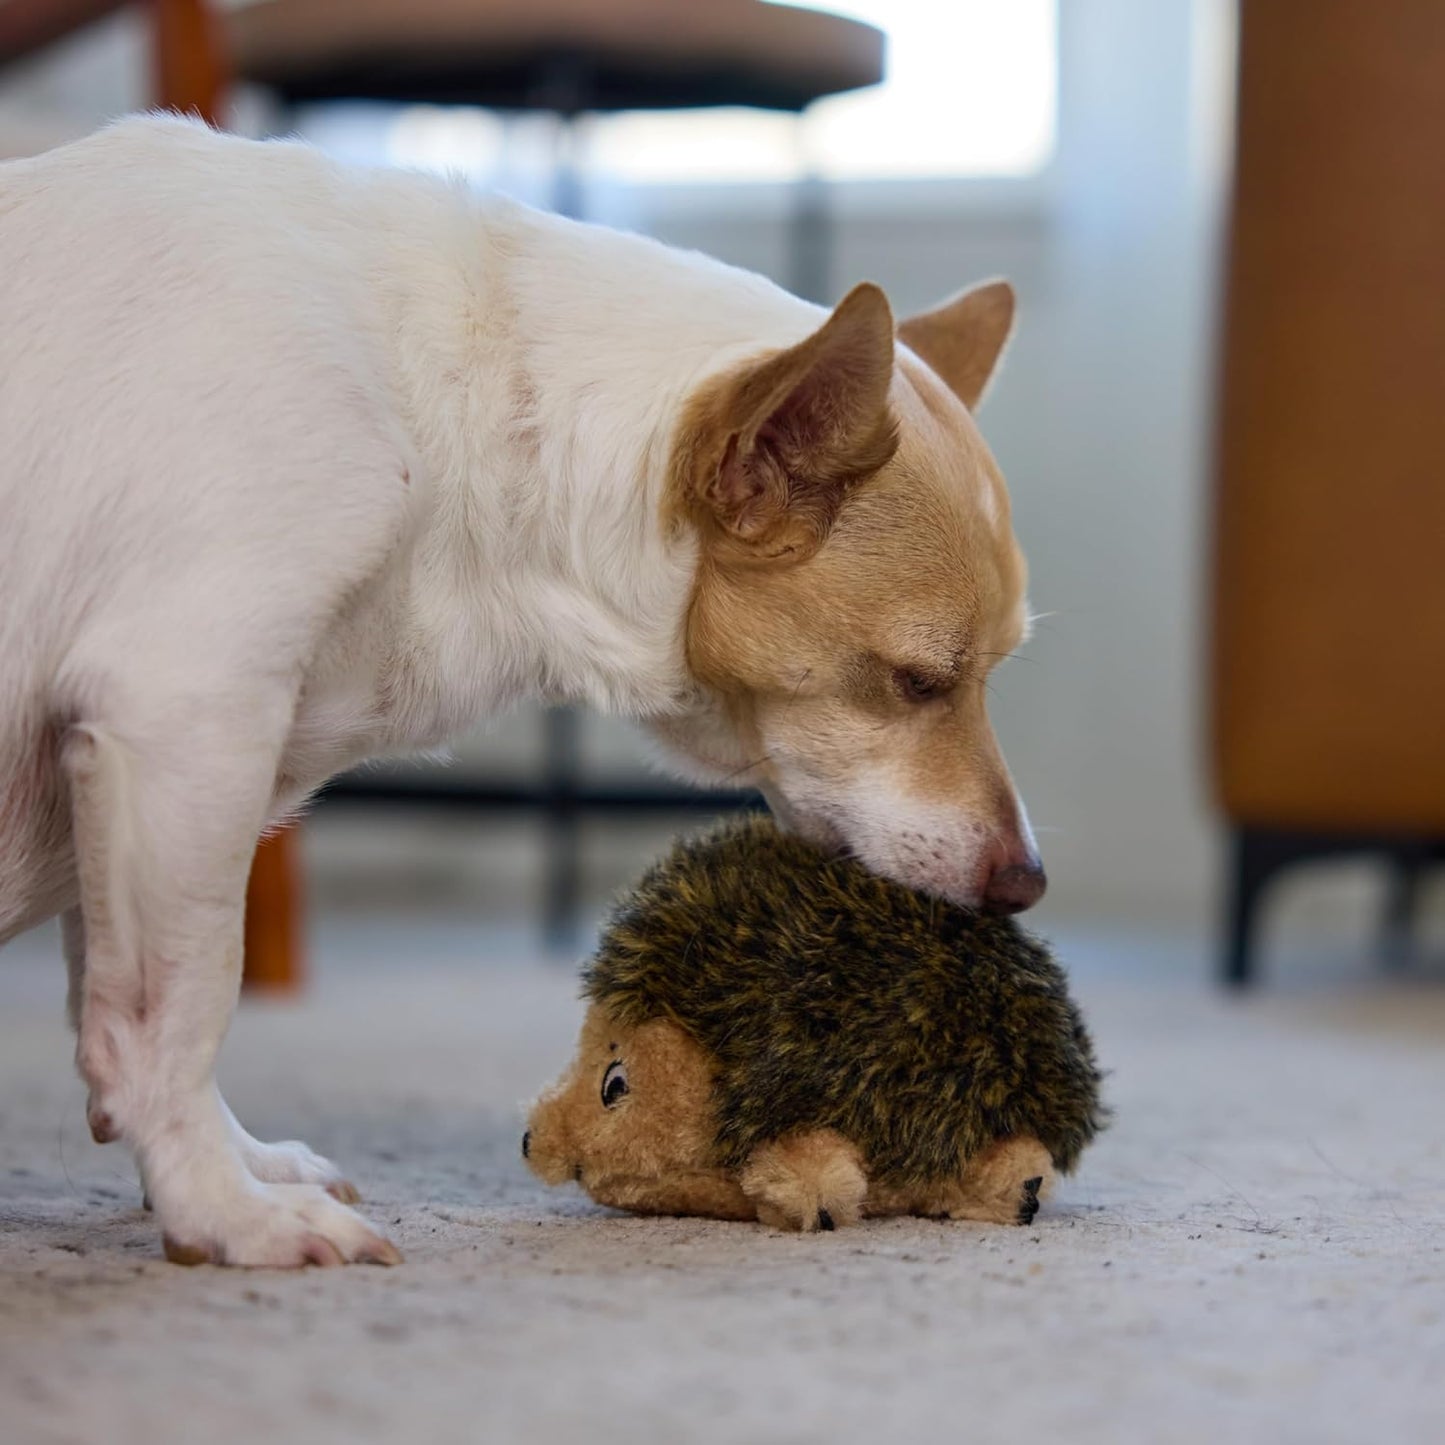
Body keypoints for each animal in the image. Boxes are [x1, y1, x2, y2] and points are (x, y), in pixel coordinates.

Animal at [0, 115, 1040, 1265]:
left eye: (989, 672)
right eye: (918, 680)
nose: (1026, 881)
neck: (457, 413)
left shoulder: (128, 775)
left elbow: (116, 999)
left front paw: (225, 1167)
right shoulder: (183, 717)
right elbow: (173, 1015)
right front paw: (224, 1210)